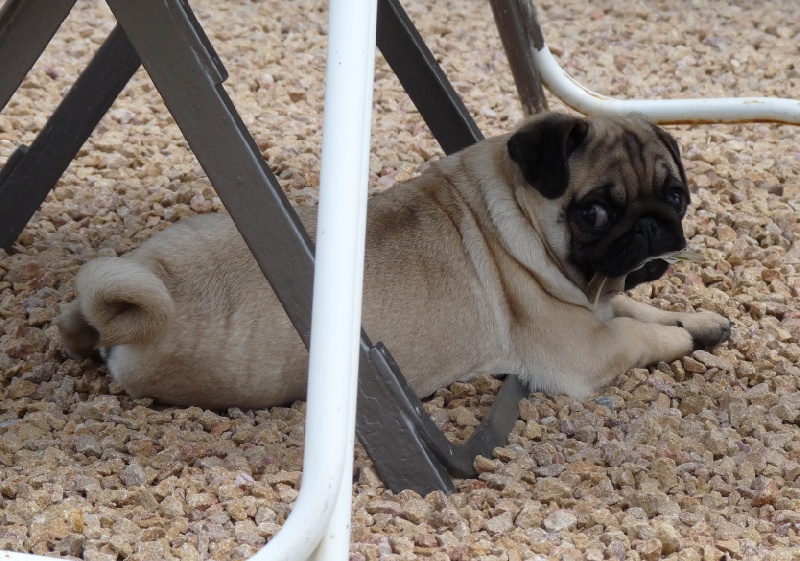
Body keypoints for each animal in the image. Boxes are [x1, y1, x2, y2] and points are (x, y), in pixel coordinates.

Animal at [56, 111, 732, 410]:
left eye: (676, 195)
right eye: (594, 211)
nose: (652, 223)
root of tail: (144, 306)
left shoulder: (600, 304)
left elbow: (645, 309)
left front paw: (702, 321)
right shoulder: (586, 350)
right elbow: (642, 335)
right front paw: (684, 340)